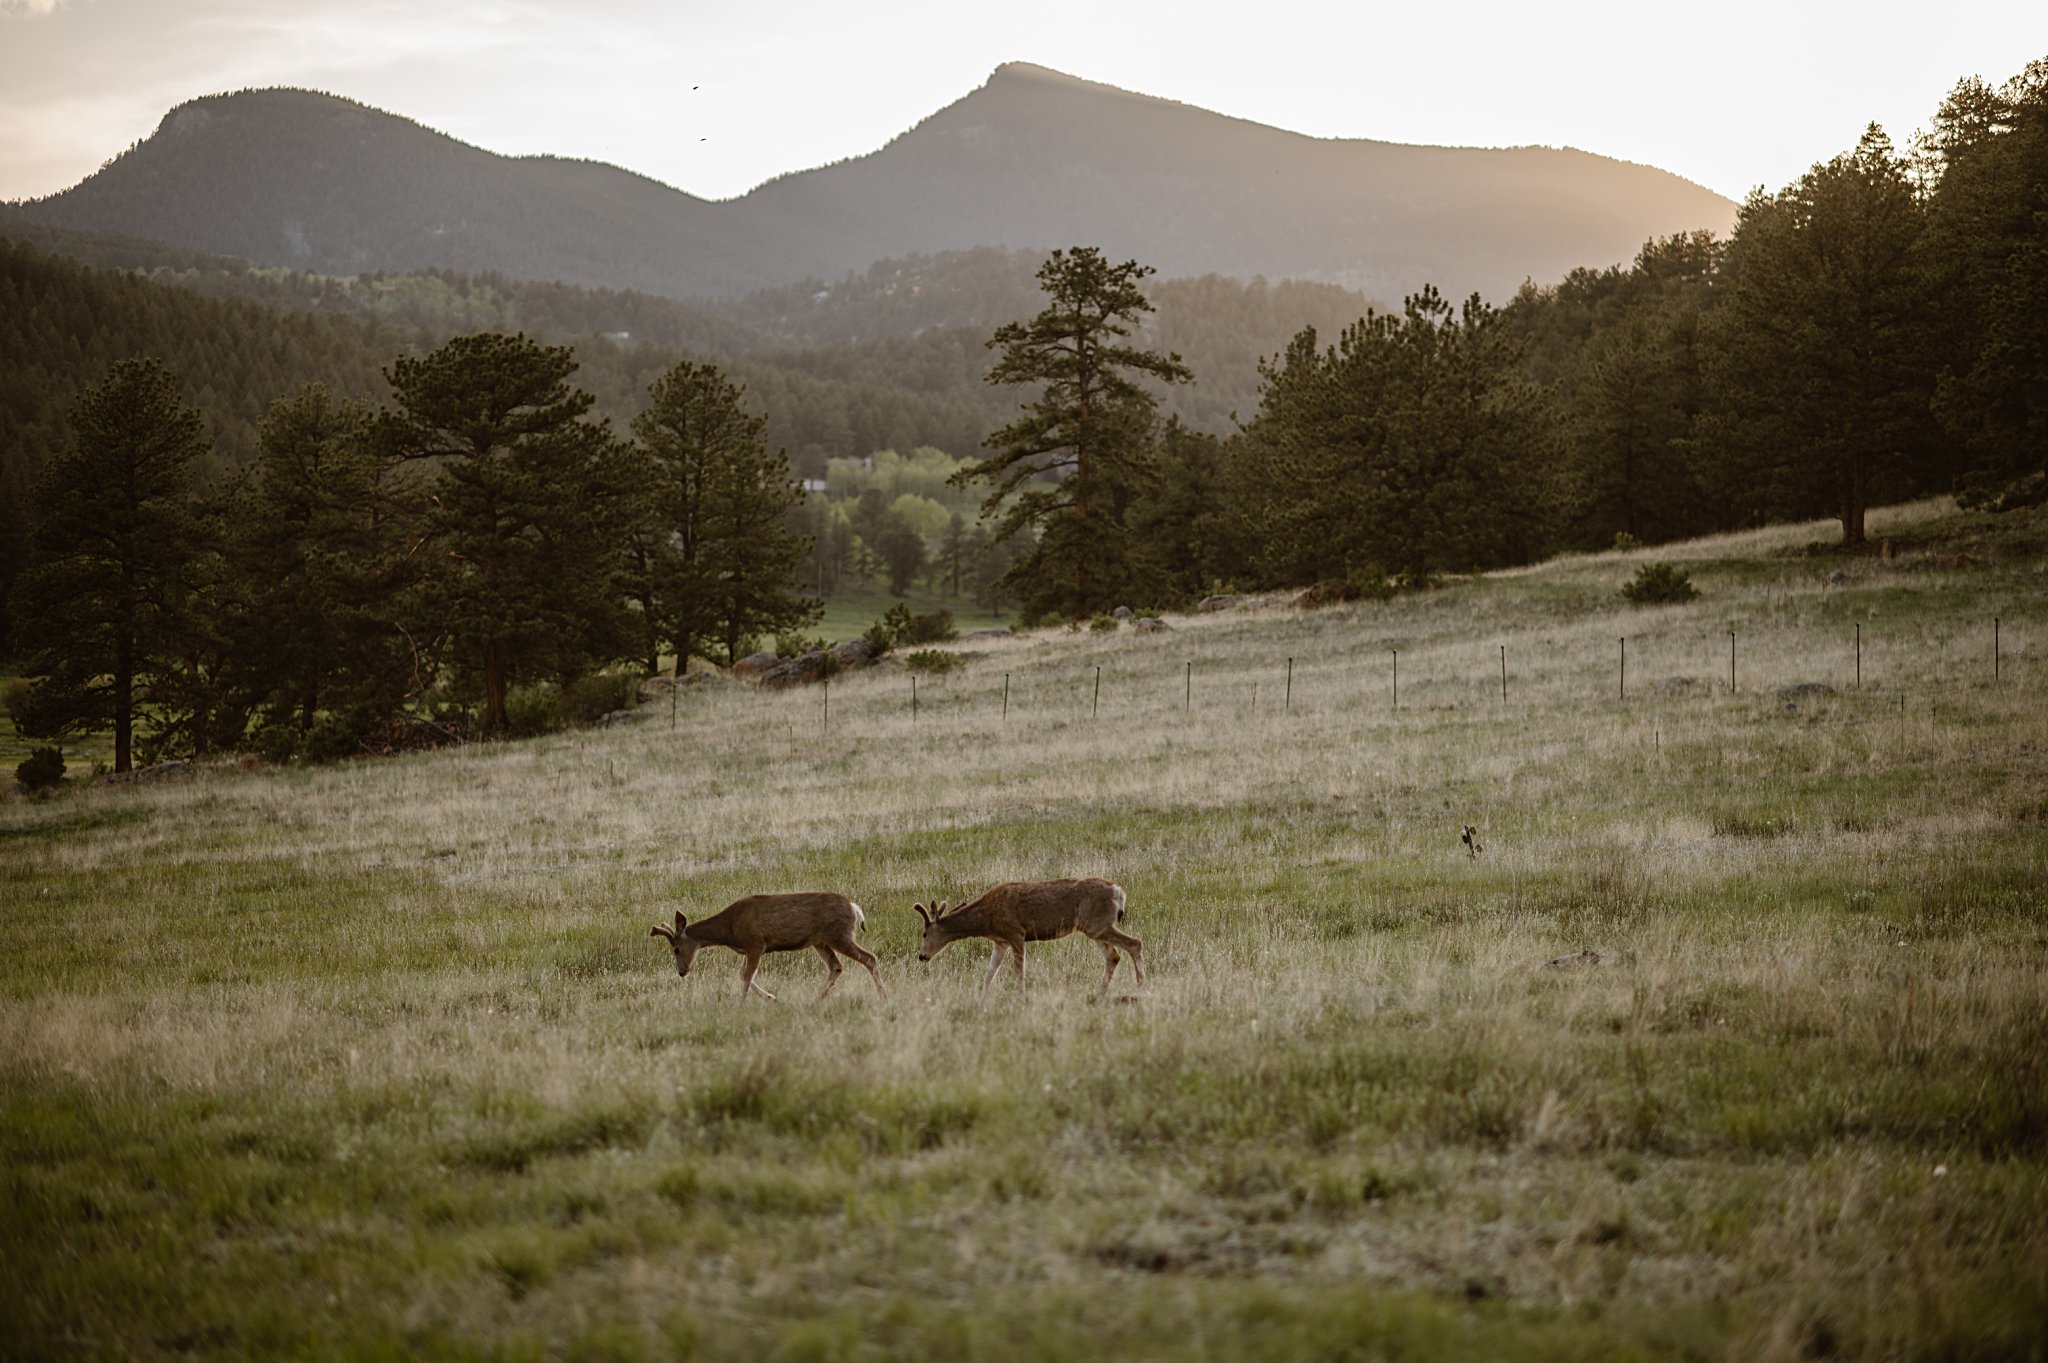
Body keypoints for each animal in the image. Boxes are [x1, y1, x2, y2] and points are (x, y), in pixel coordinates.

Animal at [649, 892, 885, 1003]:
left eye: (676, 949)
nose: (682, 972)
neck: (730, 928)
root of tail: (855, 908)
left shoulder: (755, 944)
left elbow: (746, 977)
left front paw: (742, 1004)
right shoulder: (748, 949)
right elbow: (742, 974)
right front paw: (772, 998)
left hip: (839, 935)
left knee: (869, 958)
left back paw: (884, 996)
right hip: (820, 941)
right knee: (836, 966)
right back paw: (815, 999)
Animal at [912, 878, 1142, 1000]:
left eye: (924, 934)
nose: (922, 956)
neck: (986, 919)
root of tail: (1119, 892)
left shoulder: (1016, 933)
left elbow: (1019, 973)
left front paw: (1021, 1000)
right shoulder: (1000, 942)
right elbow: (989, 974)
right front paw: (981, 1000)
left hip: (1098, 925)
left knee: (1134, 944)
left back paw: (1142, 988)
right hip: (1095, 928)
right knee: (1114, 956)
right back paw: (1099, 995)